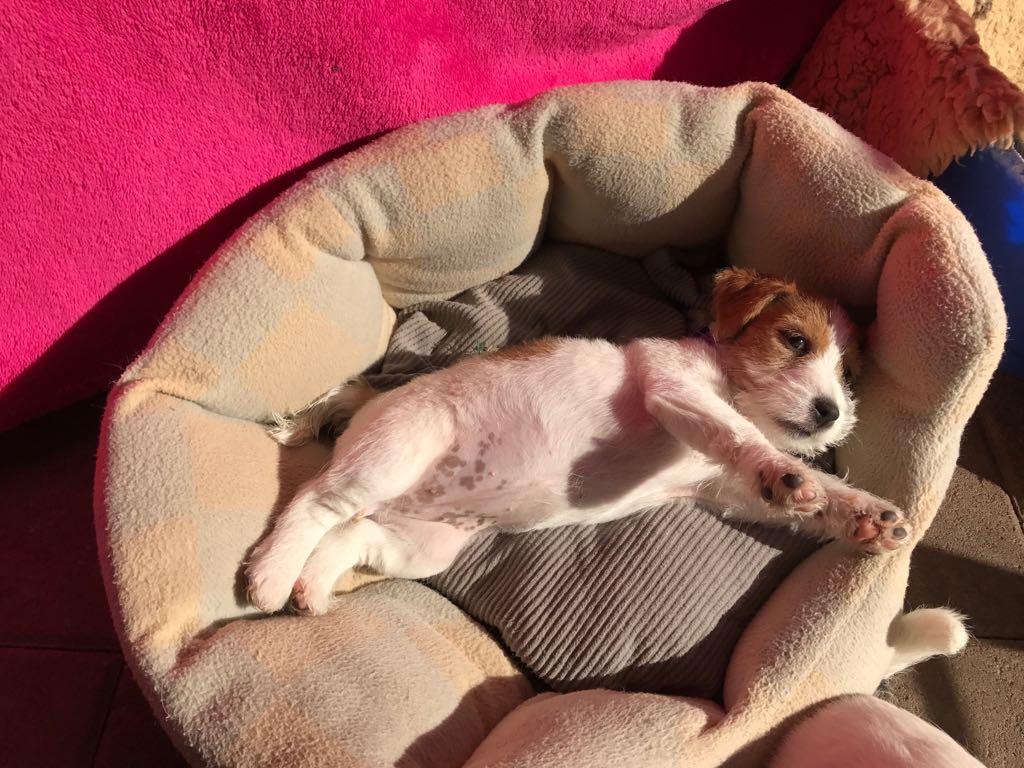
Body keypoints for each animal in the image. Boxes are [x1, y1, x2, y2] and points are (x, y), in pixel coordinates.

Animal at [246, 267, 912, 615]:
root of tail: (371, 400)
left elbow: (811, 493)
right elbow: (738, 433)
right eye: (795, 341)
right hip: (398, 449)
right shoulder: (674, 389)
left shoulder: (722, 489)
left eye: (849, 377)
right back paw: (273, 575)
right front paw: (784, 472)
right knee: (315, 502)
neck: (728, 379)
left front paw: (866, 516)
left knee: (350, 533)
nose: (829, 413)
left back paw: (311, 587)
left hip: (419, 545)